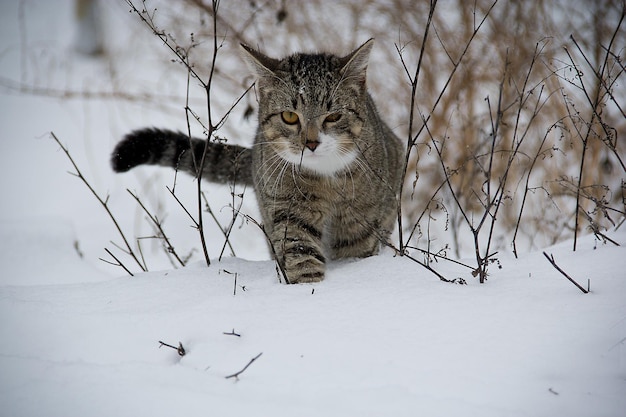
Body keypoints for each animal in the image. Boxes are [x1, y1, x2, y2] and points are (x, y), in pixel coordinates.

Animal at [109, 39, 402, 282]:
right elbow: (300, 253)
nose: (311, 143)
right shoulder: (287, 208)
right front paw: (307, 289)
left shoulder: (360, 219)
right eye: (289, 116)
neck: (325, 176)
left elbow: (356, 250)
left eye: (333, 117)